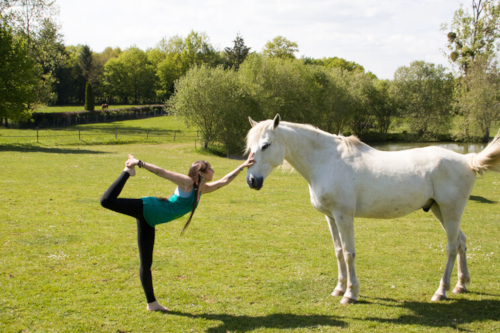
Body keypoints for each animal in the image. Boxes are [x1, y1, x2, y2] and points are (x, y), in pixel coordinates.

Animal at [244, 114, 500, 304]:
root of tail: (468, 160)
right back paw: (460, 285)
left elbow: (349, 253)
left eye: (265, 145)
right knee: (461, 242)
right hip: (440, 211)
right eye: (250, 147)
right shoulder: (331, 218)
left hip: (450, 211)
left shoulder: (344, 216)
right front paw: (339, 288)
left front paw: (350, 294)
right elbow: (338, 251)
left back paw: (441, 291)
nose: (251, 181)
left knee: (451, 247)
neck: (326, 161)